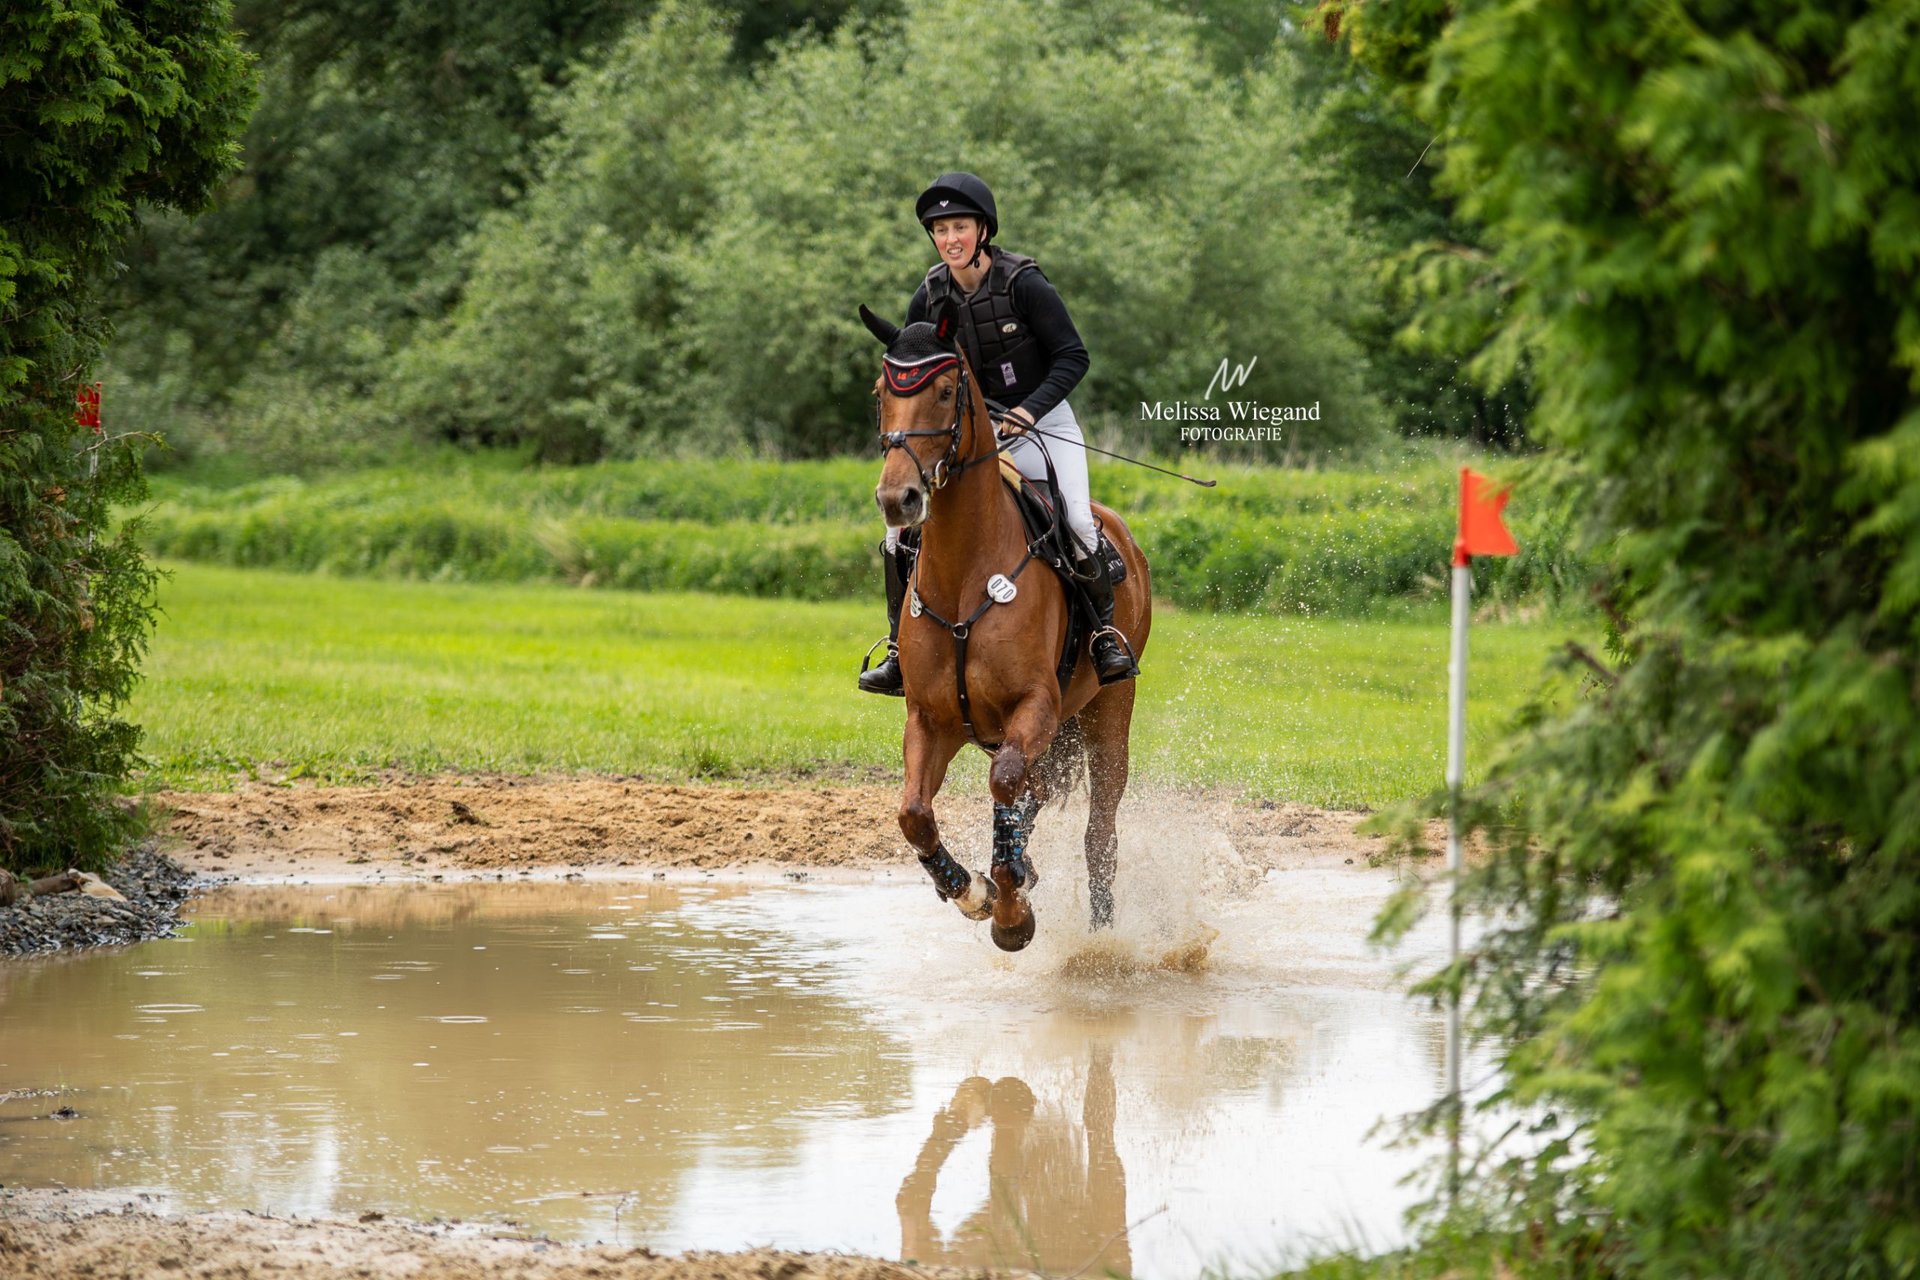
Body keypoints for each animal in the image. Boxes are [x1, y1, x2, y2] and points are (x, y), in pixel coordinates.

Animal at [858, 295, 1152, 952]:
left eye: (945, 391)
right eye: (880, 392)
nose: (897, 499)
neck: (966, 571)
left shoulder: (1034, 705)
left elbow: (1005, 780)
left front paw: (1012, 914)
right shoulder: (931, 719)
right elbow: (914, 814)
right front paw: (972, 891)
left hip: (1107, 711)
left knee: (1099, 835)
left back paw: (1099, 937)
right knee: (1035, 792)